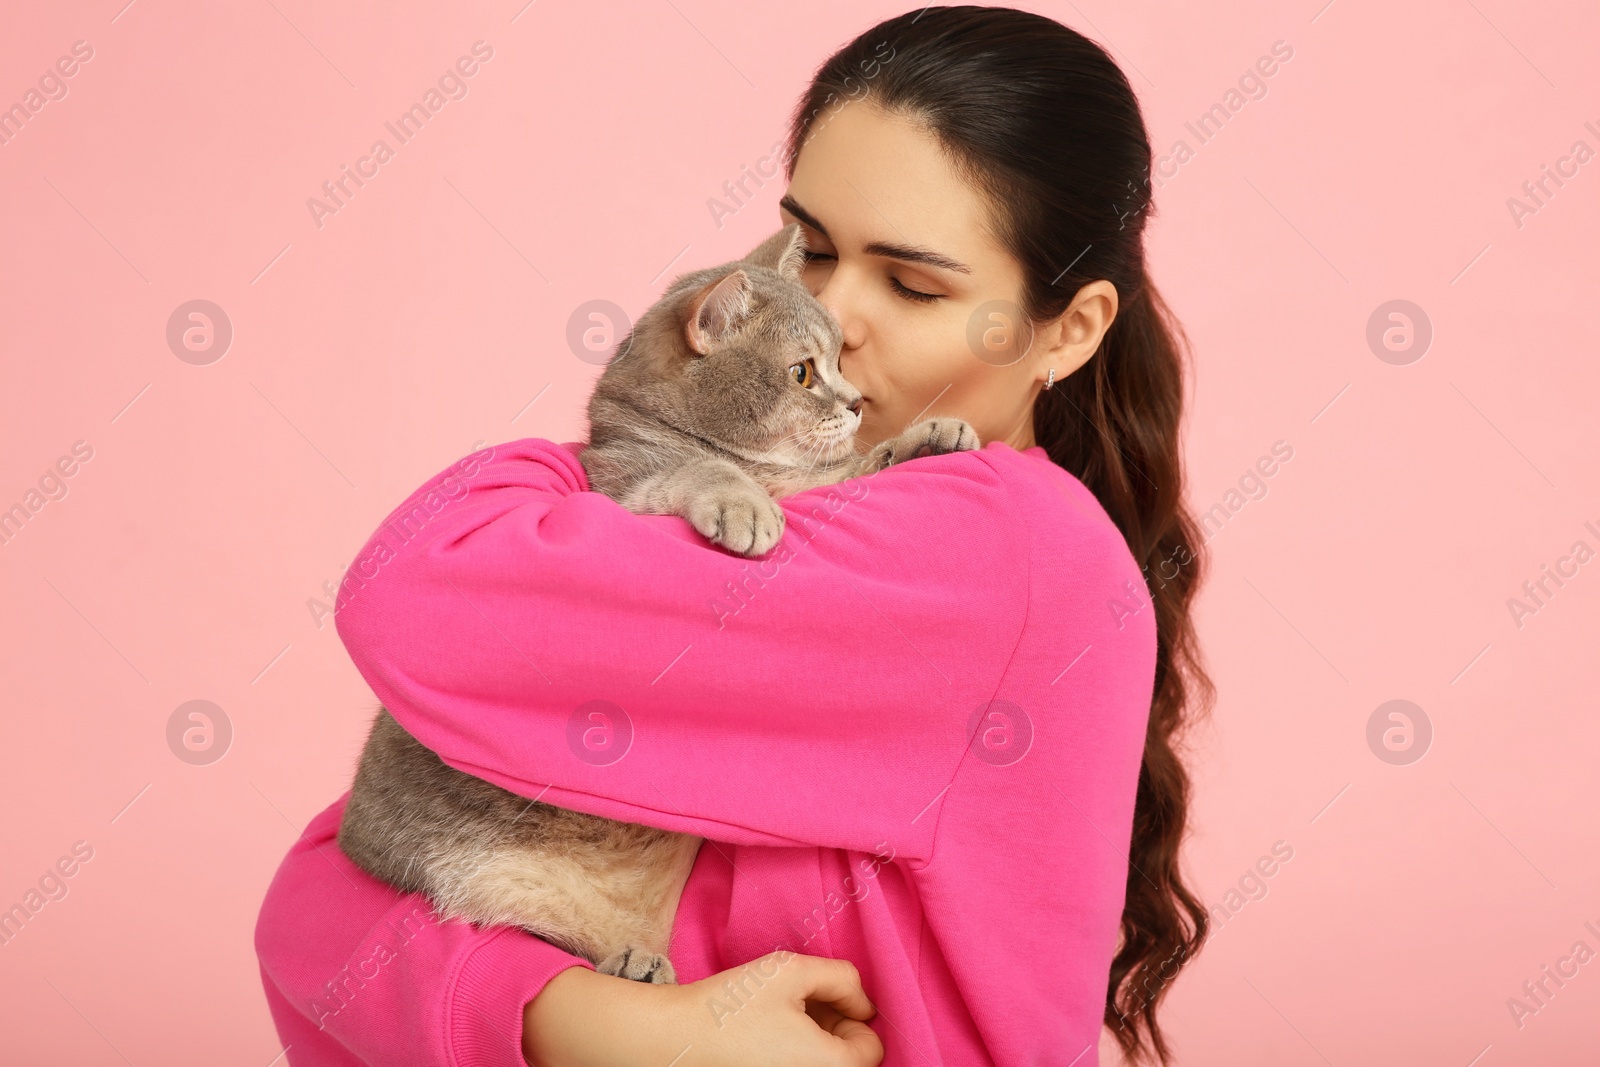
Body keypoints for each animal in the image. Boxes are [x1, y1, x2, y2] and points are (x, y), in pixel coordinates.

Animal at [340, 223, 972, 985]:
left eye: (840, 359)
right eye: (801, 372)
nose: (853, 402)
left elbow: (857, 467)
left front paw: (931, 433)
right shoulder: (622, 493)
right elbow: (702, 469)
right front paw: (741, 502)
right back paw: (626, 961)